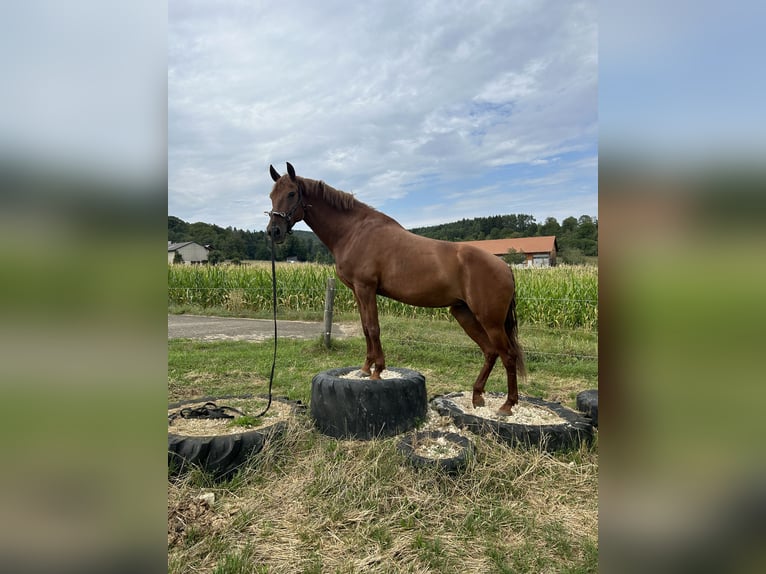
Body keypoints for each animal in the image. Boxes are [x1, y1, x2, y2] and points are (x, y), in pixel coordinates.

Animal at [268, 162, 524, 414]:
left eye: (291, 194)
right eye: (271, 195)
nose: (273, 231)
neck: (354, 232)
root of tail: (504, 266)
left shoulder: (366, 289)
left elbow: (373, 328)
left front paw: (377, 371)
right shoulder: (357, 292)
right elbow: (365, 328)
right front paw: (365, 368)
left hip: (490, 321)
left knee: (508, 355)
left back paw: (507, 405)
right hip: (464, 313)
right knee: (490, 351)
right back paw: (477, 396)